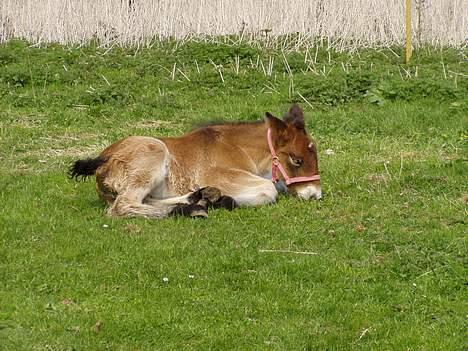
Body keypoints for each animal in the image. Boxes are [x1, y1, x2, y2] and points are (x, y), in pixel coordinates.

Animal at [69, 103, 322, 219]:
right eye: (297, 160)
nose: (314, 194)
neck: (239, 148)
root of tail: (103, 159)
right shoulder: (219, 175)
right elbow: (269, 189)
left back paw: (199, 198)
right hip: (153, 153)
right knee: (122, 206)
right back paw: (194, 207)